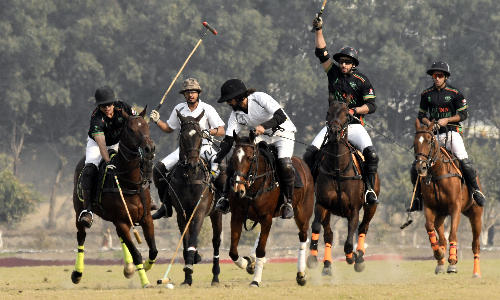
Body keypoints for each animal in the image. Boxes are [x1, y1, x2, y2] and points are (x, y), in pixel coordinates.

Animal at [72, 106, 156, 288]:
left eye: (147, 126)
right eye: (131, 129)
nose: (149, 149)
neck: (129, 183)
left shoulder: (146, 218)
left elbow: (153, 250)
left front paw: (145, 267)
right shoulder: (122, 221)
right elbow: (137, 253)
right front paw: (145, 281)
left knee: (119, 236)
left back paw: (128, 268)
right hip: (79, 210)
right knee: (81, 236)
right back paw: (77, 274)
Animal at [152, 110, 223, 286]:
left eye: (199, 136)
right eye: (183, 137)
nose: (193, 164)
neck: (189, 177)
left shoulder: (199, 210)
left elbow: (193, 237)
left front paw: (190, 264)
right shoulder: (182, 212)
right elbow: (185, 238)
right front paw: (187, 277)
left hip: (216, 212)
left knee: (216, 241)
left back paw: (215, 277)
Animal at [228, 130, 314, 288]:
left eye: (250, 158)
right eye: (233, 158)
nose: (238, 191)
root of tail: (303, 164)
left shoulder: (266, 217)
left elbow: (261, 250)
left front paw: (255, 281)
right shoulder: (237, 216)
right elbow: (233, 251)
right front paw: (246, 263)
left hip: (302, 212)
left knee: (303, 236)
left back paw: (301, 274)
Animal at [304, 102, 378, 276]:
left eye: (346, 114)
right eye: (328, 112)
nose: (335, 132)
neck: (338, 168)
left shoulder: (354, 209)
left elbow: (350, 238)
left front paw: (353, 256)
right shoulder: (322, 204)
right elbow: (316, 226)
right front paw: (312, 257)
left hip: (371, 206)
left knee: (363, 227)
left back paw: (360, 258)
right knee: (329, 235)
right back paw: (327, 265)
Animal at [412, 118, 482, 278]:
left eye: (429, 140)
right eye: (414, 142)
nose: (421, 168)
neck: (436, 173)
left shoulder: (455, 207)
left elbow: (453, 235)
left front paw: (453, 262)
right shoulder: (430, 207)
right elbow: (430, 227)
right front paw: (439, 254)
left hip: (476, 215)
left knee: (475, 244)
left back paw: (476, 273)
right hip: (441, 215)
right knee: (441, 237)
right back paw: (440, 263)